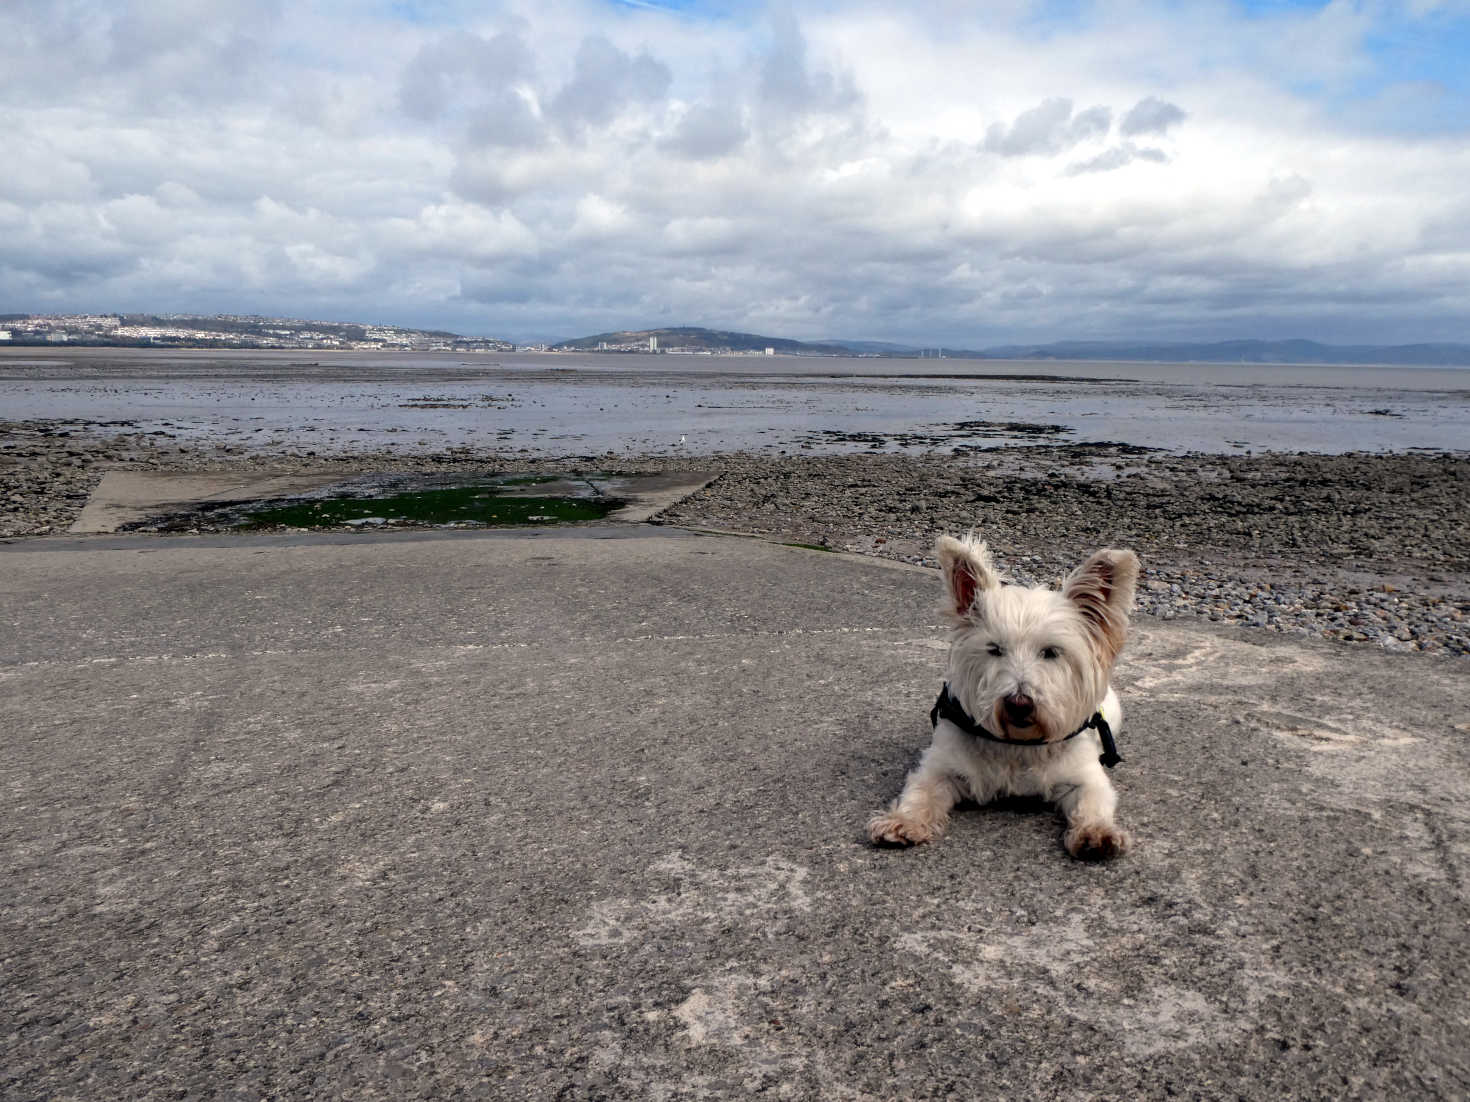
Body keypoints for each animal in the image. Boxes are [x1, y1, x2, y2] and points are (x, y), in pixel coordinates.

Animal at [864, 537, 1140, 863]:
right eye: (994, 649)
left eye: (1051, 652)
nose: (1019, 704)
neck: (1017, 744)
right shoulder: (939, 766)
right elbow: (920, 793)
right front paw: (903, 821)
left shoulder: (1085, 776)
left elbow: (1093, 801)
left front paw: (1097, 834)